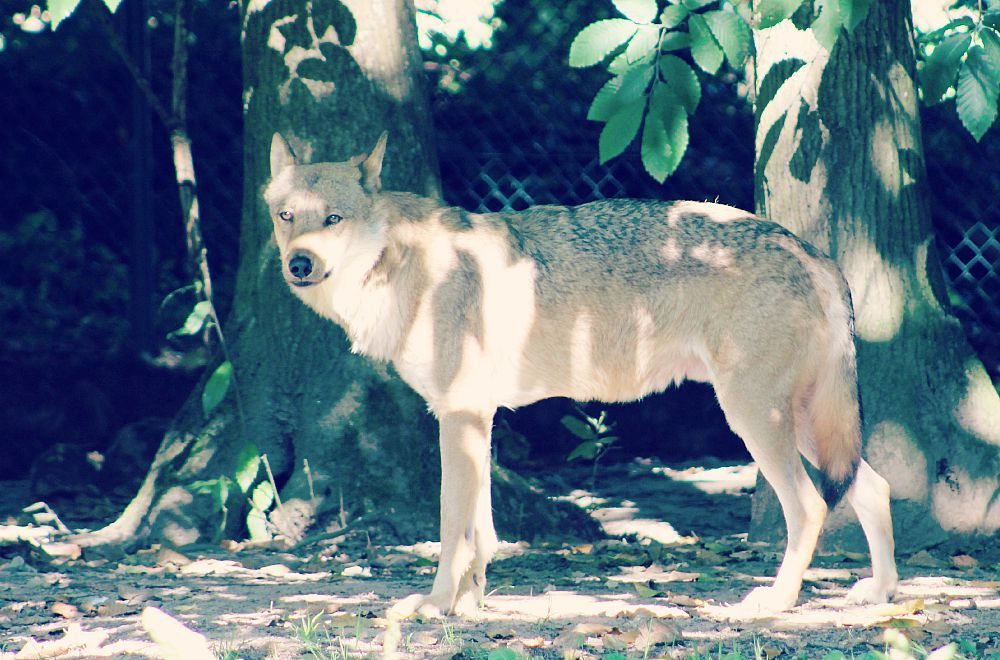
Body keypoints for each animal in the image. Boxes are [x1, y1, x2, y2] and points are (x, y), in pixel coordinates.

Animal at [265, 132, 898, 617]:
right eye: (286, 216)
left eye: (335, 219)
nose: (300, 264)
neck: (404, 266)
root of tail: (815, 254)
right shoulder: (477, 420)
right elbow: (482, 531)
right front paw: (469, 606)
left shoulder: (459, 416)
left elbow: (451, 529)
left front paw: (436, 605)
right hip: (803, 425)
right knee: (874, 488)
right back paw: (881, 594)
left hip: (755, 420)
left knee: (812, 507)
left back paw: (777, 602)